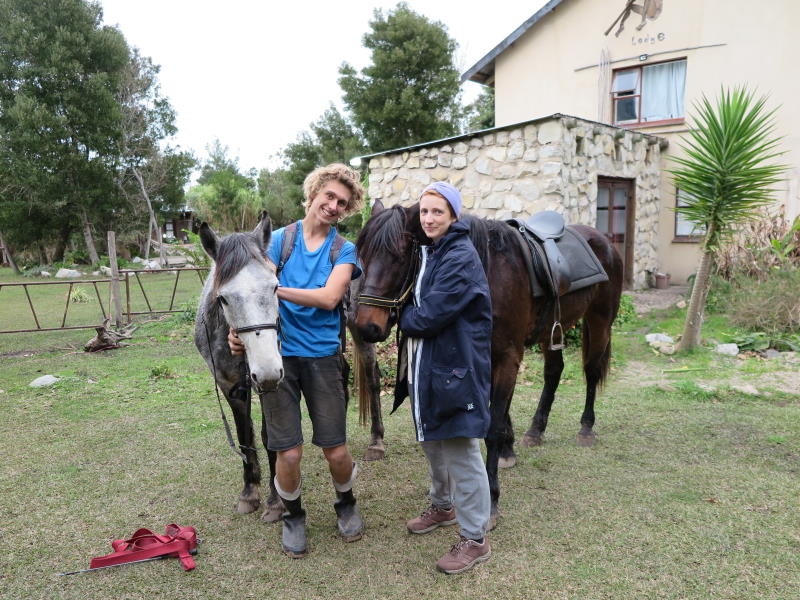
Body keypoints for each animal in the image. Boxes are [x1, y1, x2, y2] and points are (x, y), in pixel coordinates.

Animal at [354, 200, 624, 520]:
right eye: (361, 255)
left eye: (399, 256)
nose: (365, 327)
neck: (490, 274)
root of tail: (603, 241)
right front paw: (508, 450)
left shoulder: (507, 356)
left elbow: (492, 426)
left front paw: (492, 496)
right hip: (551, 330)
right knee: (554, 372)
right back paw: (535, 430)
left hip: (600, 320)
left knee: (592, 370)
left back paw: (586, 428)